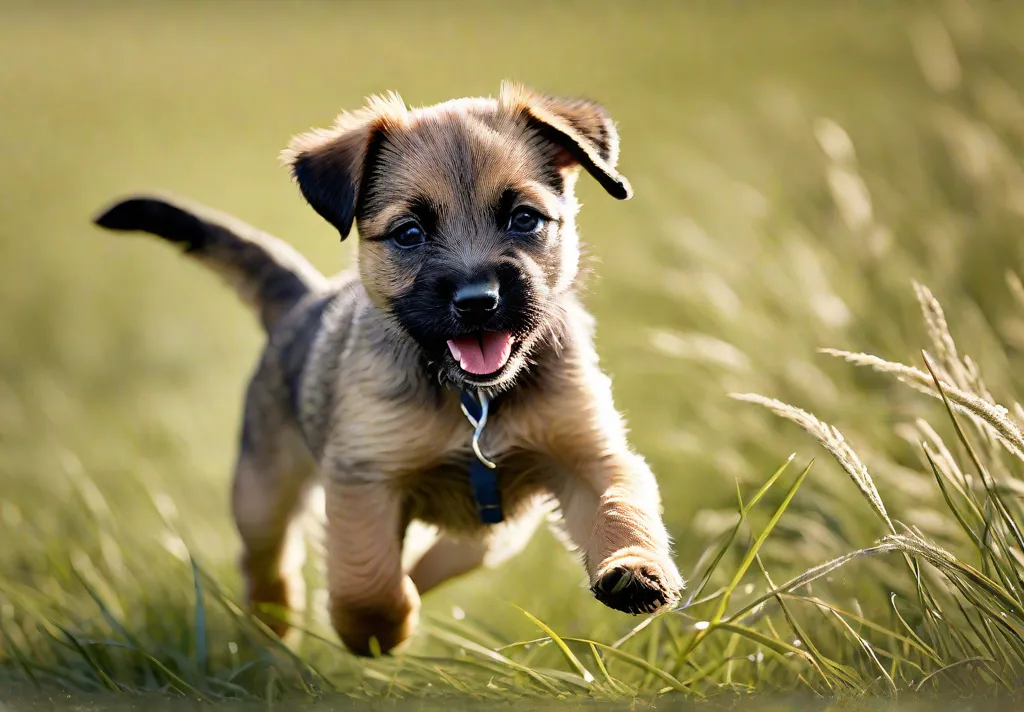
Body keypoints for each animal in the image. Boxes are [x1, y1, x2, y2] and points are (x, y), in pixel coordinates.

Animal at [92, 81, 684, 655]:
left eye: (524, 219)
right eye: (409, 233)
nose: (478, 301)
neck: (473, 403)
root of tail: (302, 299)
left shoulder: (589, 455)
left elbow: (621, 509)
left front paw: (634, 568)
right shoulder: (364, 480)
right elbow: (367, 583)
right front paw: (375, 633)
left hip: (494, 533)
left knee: (444, 556)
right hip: (261, 492)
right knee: (267, 560)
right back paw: (273, 622)